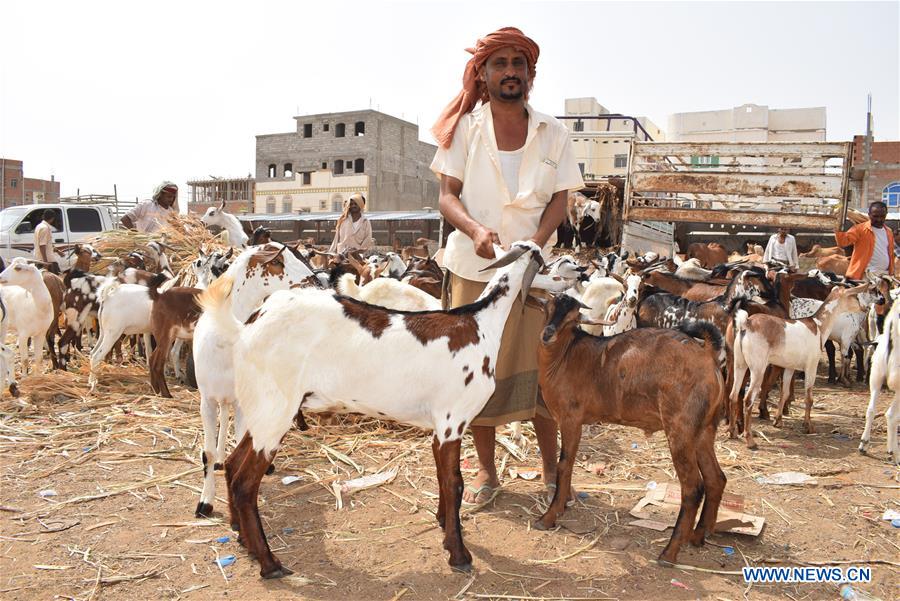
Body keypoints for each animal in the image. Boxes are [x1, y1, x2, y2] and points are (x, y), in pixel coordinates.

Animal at [200, 240, 568, 576]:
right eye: (543, 261)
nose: (571, 278)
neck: (479, 324)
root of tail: (248, 326)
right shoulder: (452, 420)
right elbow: (455, 482)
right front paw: (459, 553)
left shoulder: (440, 427)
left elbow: (443, 477)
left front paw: (443, 525)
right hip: (275, 411)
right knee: (245, 482)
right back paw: (269, 563)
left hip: (260, 411)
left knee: (231, 465)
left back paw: (245, 541)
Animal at [536, 292, 728, 564]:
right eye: (549, 308)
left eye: (573, 318)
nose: (548, 334)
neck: (565, 356)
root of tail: (708, 357)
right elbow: (570, 463)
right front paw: (561, 508)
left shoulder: (571, 418)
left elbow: (564, 465)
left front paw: (548, 517)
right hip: (703, 430)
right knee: (715, 478)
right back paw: (698, 536)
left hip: (680, 429)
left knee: (693, 486)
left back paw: (669, 552)